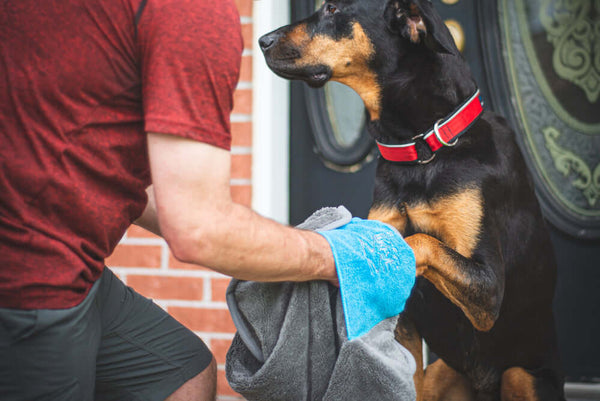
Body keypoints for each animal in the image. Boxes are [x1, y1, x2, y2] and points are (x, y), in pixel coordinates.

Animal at [260, 0, 564, 400]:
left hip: (521, 374)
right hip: (441, 372)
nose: (262, 41)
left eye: (333, 8)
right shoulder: (405, 325)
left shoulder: (487, 289)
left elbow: (418, 240)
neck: (421, 149)